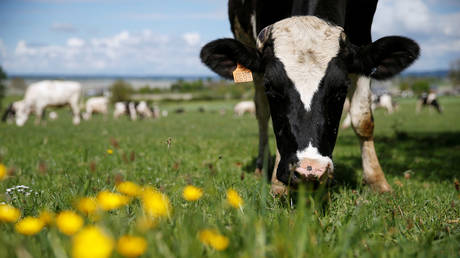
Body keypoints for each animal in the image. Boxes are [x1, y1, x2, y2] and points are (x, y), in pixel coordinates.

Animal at [199, 0, 418, 194]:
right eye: (271, 87)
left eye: (341, 89)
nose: (309, 169)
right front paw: (278, 185)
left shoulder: (362, 34)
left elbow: (362, 120)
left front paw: (377, 181)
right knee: (261, 112)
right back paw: (261, 166)